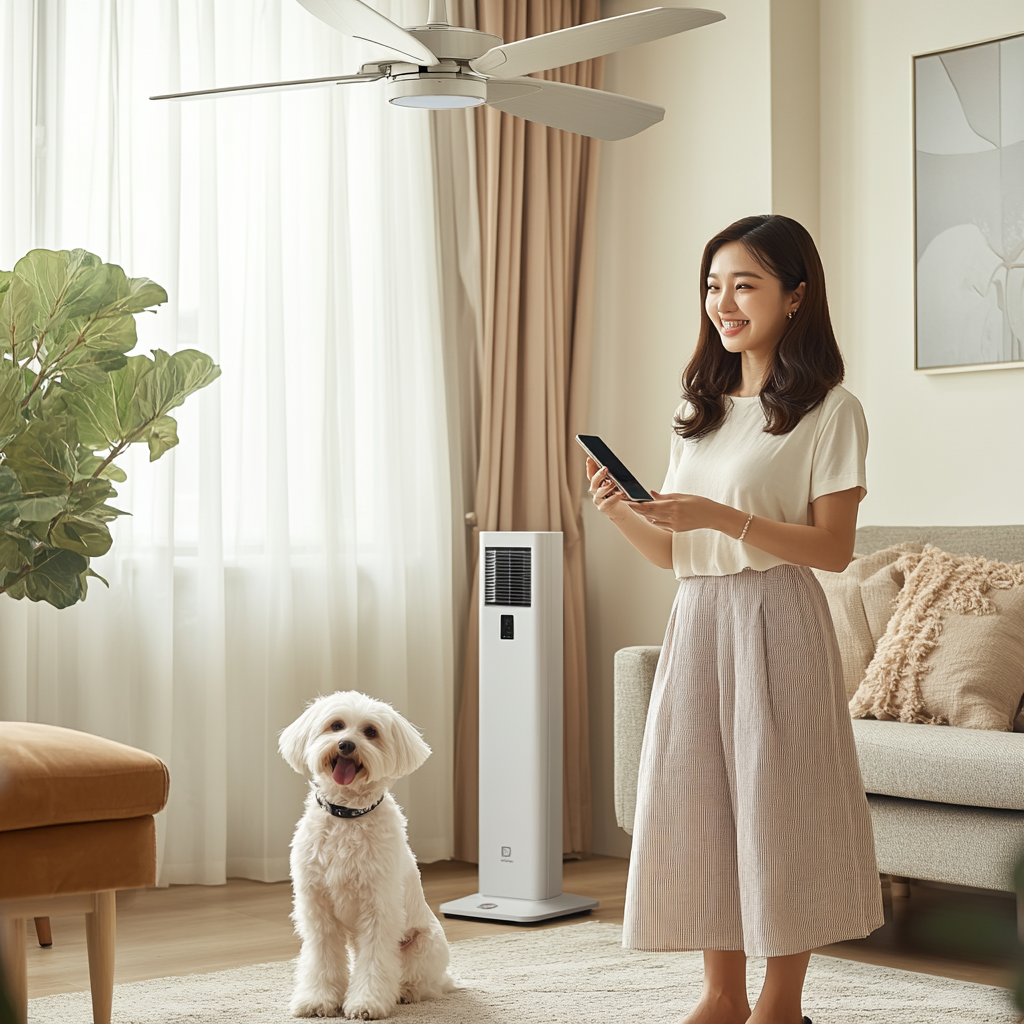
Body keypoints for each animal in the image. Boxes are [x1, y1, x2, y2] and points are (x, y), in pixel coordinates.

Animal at [280, 692, 456, 1019]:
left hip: (424, 946)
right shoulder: (318, 907)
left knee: (423, 982)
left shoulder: (378, 907)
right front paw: (318, 1000)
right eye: (336, 725)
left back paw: (406, 993)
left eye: (371, 732)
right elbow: (322, 958)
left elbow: (376, 962)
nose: (346, 745)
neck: (347, 814)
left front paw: (366, 1004)